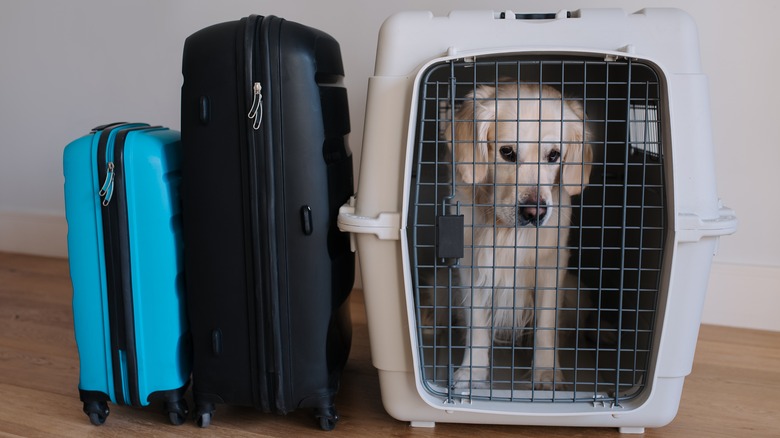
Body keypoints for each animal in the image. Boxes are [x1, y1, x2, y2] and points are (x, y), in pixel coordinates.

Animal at [444, 83, 592, 390]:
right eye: (507, 152)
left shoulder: (551, 266)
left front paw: (546, 374)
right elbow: (477, 324)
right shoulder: (473, 267)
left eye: (554, 155)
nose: (535, 213)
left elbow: (546, 326)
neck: (505, 230)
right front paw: (472, 374)